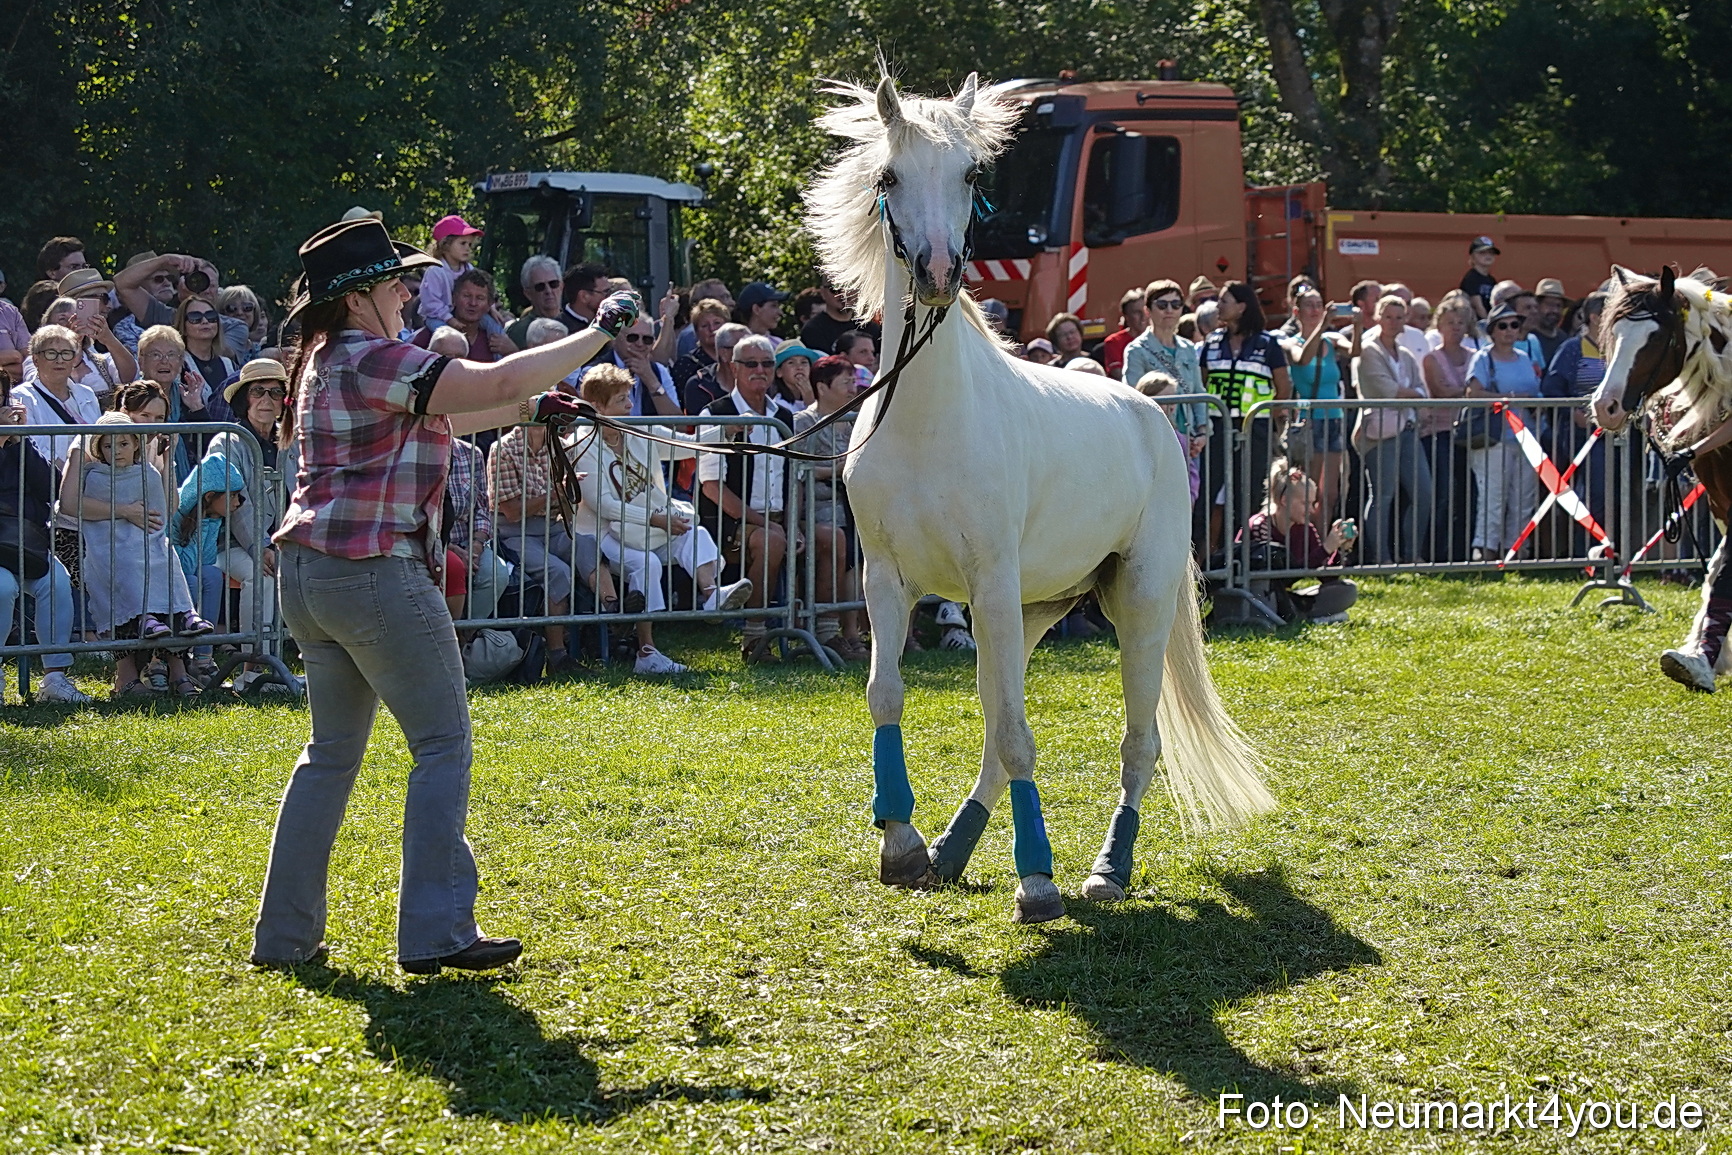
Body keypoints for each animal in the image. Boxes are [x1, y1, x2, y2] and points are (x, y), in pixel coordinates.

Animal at [806, 70, 1274, 923]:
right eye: (888, 177)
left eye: (970, 176)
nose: (935, 272)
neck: (929, 418)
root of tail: (1158, 417)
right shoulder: (886, 579)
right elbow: (889, 695)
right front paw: (902, 844)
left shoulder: (988, 581)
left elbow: (1022, 736)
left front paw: (1038, 881)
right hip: (1035, 610)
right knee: (1000, 727)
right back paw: (951, 850)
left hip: (1137, 600)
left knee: (1136, 741)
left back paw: (1105, 868)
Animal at [1591, 263, 1732, 691]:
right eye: (1616, 332)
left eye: (1655, 338)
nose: (1606, 406)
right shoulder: (1722, 501)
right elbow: (1720, 577)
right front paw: (1701, 657)